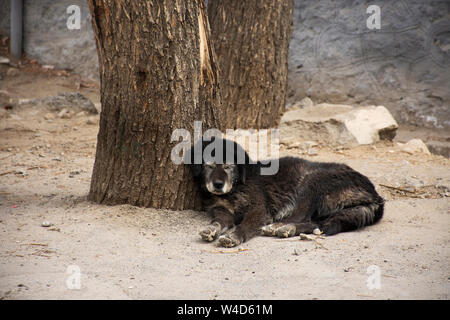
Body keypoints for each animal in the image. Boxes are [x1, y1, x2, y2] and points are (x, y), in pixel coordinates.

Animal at [185, 138, 384, 248]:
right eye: (209, 166)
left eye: (228, 166)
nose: (218, 185)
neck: (235, 187)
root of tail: (376, 195)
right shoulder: (221, 210)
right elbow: (219, 222)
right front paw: (211, 229)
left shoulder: (259, 210)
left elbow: (244, 226)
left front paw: (233, 237)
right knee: (317, 223)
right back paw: (287, 229)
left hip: (312, 181)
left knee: (303, 216)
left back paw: (278, 226)